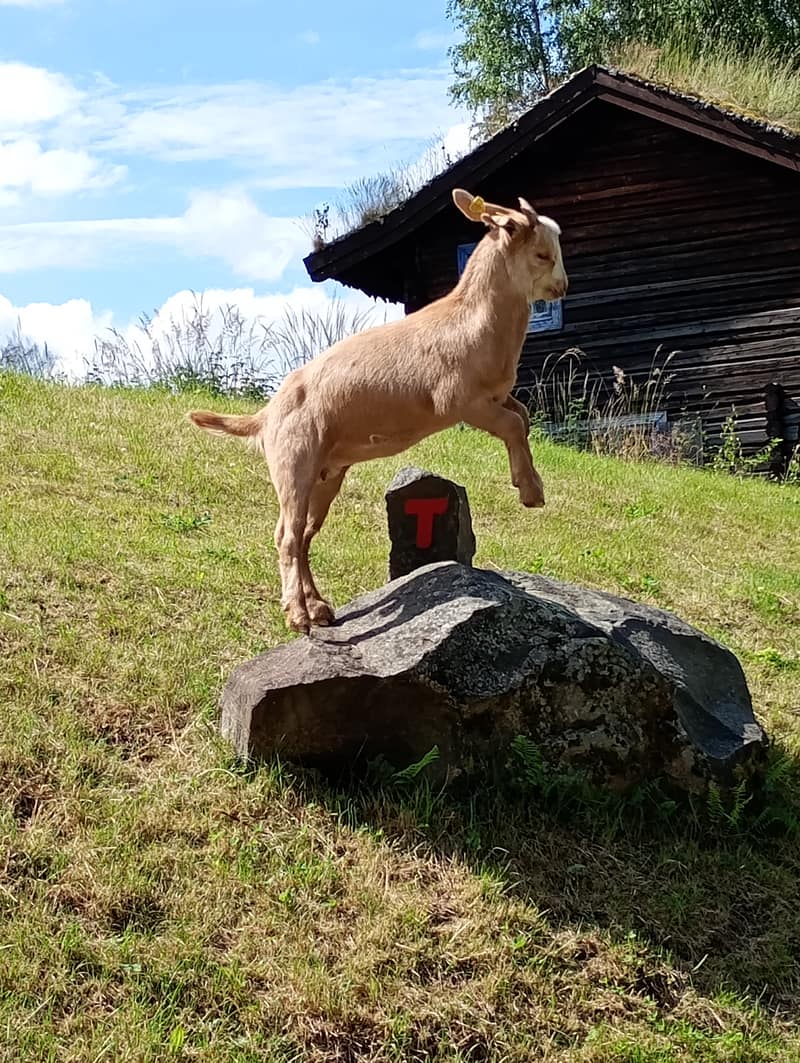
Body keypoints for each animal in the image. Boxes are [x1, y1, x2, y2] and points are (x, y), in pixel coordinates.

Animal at [189, 188, 567, 633]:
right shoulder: (459, 400)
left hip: (327, 472)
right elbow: (512, 424)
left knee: (304, 535)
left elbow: (522, 417)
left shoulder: (493, 397)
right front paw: (531, 492)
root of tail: (265, 415)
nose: (562, 287)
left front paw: (527, 482)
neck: (470, 320)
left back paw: (319, 608)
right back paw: (298, 615)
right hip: (293, 461)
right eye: (541, 254)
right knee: (287, 535)